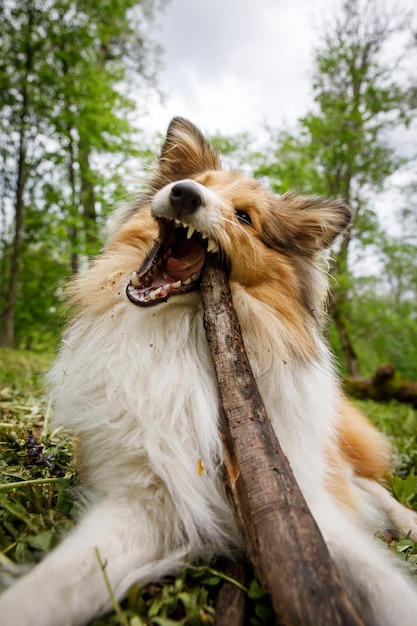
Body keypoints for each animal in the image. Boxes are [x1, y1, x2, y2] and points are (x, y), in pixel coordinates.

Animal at [0, 118, 416, 624]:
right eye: (197, 183)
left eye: (245, 218)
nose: (183, 194)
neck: (188, 336)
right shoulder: (150, 500)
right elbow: (55, 585)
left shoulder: (305, 501)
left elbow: (386, 588)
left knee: (370, 485)